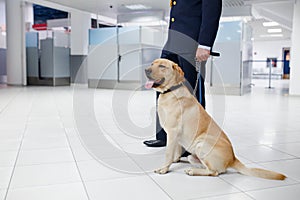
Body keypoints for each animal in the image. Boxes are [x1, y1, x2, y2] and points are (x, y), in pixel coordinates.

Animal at [145, 57, 286, 180]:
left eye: (162, 66)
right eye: (152, 64)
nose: (146, 70)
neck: (171, 91)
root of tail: (233, 159)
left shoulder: (173, 132)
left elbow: (168, 153)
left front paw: (164, 169)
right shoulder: (176, 137)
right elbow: (175, 153)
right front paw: (175, 161)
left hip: (201, 144)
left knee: (214, 172)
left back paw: (192, 171)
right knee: (204, 165)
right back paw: (189, 163)